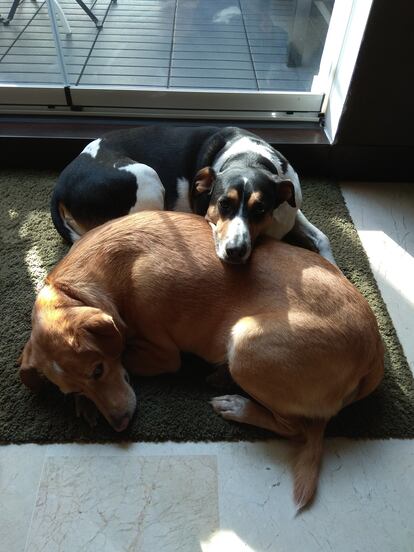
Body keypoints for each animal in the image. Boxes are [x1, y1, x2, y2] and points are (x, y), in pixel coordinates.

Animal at [18, 211, 382, 508]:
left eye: (98, 369)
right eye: (74, 388)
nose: (119, 424)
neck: (78, 286)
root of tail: (374, 355)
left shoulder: (164, 356)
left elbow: (128, 355)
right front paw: (85, 405)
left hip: (246, 343)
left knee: (296, 427)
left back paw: (237, 404)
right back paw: (222, 377)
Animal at [52, 126, 336, 264]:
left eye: (260, 209)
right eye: (223, 204)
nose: (235, 251)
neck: (250, 158)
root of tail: (60, 186)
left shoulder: (292, 208)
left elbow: (323, 238)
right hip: (147, 177)